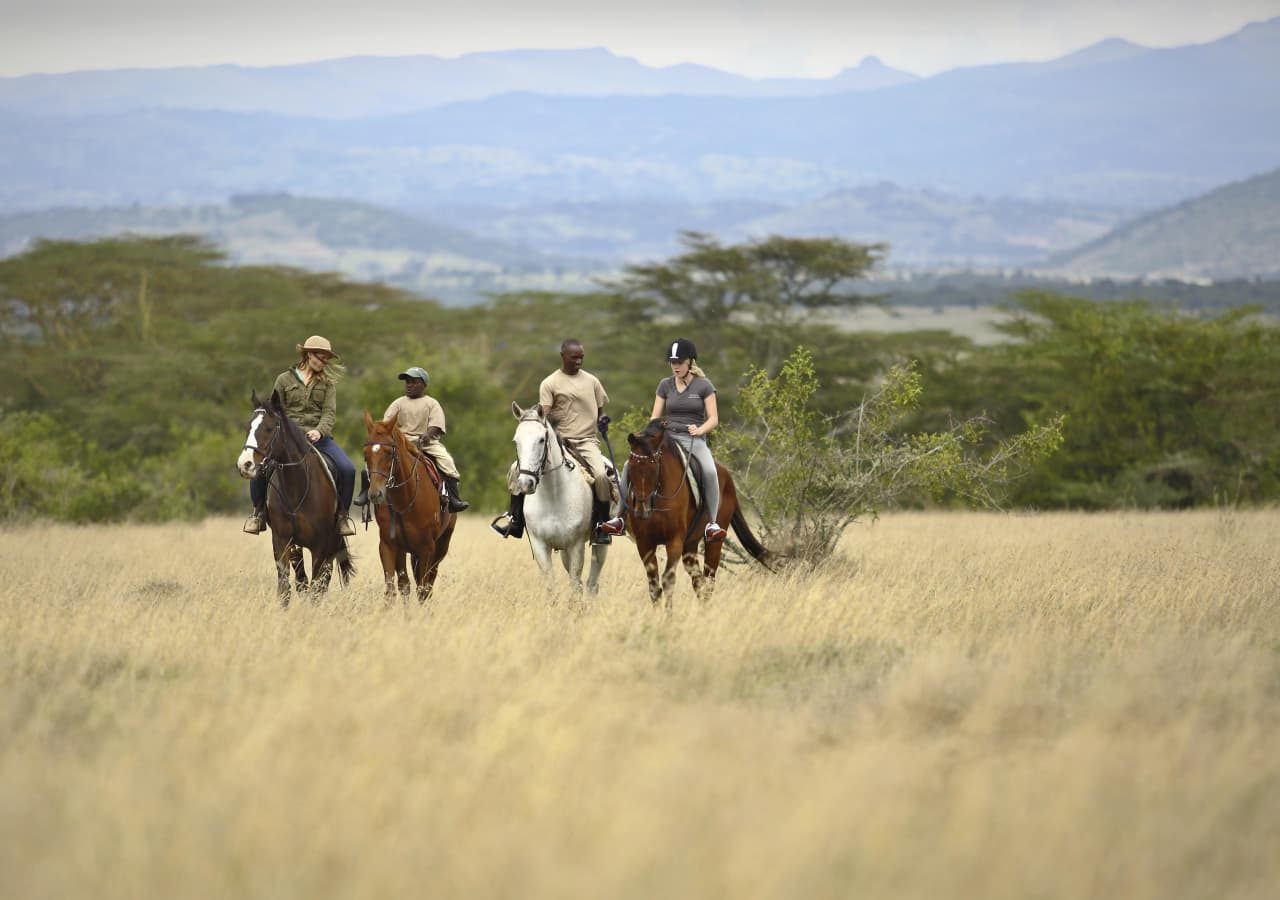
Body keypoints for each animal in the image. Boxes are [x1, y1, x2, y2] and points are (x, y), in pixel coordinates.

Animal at [235, 389, 353, 604]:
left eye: (269, 428)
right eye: (248, 426)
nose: (245, 465)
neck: (297, 487)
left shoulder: (320, 545)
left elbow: (316, 587)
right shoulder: (282, 540)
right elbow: (286, 586)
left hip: (332, 542)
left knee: (323, 579)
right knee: (302, 579)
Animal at [363, 412, 458, 601]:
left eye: (388, 453)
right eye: (366, 454)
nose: (375, 494)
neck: (404, 501)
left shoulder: (427, 548)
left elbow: (422, 590)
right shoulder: (388, 545)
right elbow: (395, 589)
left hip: (441, 546)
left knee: (429, 583)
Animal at [509, 404, 609, 594]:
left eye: (541, 440)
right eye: (516, 441)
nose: (525, 484)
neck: (552, 496)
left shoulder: (576, 545)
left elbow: (575, 585)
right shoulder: (540, 546)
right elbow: (551, 586)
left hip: (599, 545)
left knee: (592, 582)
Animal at [619, 419, 768, 604]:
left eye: (654, 466)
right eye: (631, 466)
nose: (641, 511)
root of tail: (728, 477)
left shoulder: (674, 541)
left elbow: (668, 580)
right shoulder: (644, 543)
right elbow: (654, 586)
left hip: (713, 542)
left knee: (709, 580)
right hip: (690, 545)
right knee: (699, 581)